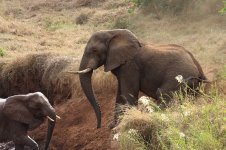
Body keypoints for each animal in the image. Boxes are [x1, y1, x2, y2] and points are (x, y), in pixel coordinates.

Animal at [73, 29, 207, 129]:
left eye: (94, 50)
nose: (98, 127)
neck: (112, 32)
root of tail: (199, 69)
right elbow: (120, 94)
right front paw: (114, 126)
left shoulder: (130, 65)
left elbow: (128, 93)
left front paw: (123, 125)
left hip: (180, 76)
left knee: (162, 94)